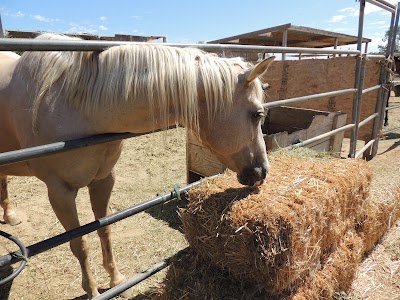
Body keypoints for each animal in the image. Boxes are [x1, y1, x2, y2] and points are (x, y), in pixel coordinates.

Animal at [0, 33, 274, 298]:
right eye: (257, 114)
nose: (262, 172)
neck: (77, 106)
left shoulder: (103, 179)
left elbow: (105, 229)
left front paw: (116, 279)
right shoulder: (60, 192)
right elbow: (79, 244)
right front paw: (92, 290)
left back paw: (10, 216)